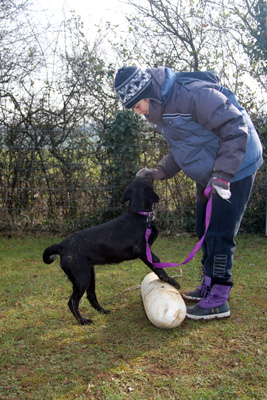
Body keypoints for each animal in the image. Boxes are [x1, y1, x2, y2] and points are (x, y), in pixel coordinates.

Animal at [43, 178, 181, 324]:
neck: (139, 215)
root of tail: (61, 245)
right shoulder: (143, 251)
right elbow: (158, 267)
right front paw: (172, 282)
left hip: (89, 274)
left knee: (91, 296)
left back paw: (102, 311)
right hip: (82, 278)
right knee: (72, 302)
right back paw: (83, 321)